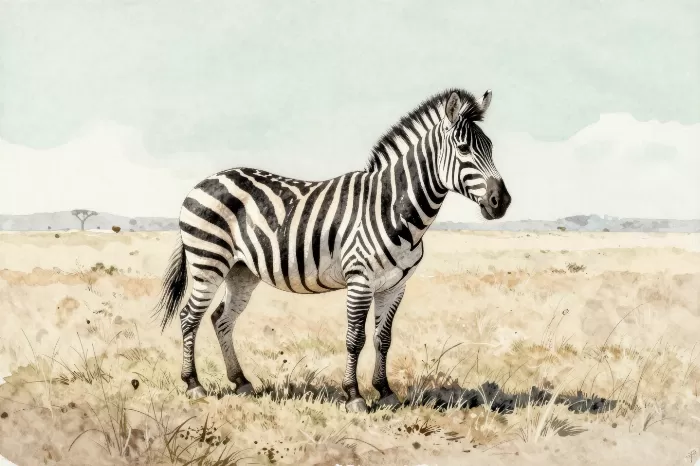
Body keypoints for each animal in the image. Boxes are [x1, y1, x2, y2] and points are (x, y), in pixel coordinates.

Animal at [153, 87, 511, 413]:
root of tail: (205, 181)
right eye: (463, 149)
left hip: (241, 271)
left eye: (492, 148)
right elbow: (355, 338)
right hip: (207, 261)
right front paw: (354, 396)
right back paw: (194, 384)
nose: (502, 202)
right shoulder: (360, 280)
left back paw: (241, 382)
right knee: (190, 316)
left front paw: (386, 393)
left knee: (220, 319)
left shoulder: (395, 286)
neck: (391, 206)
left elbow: (383, 339)